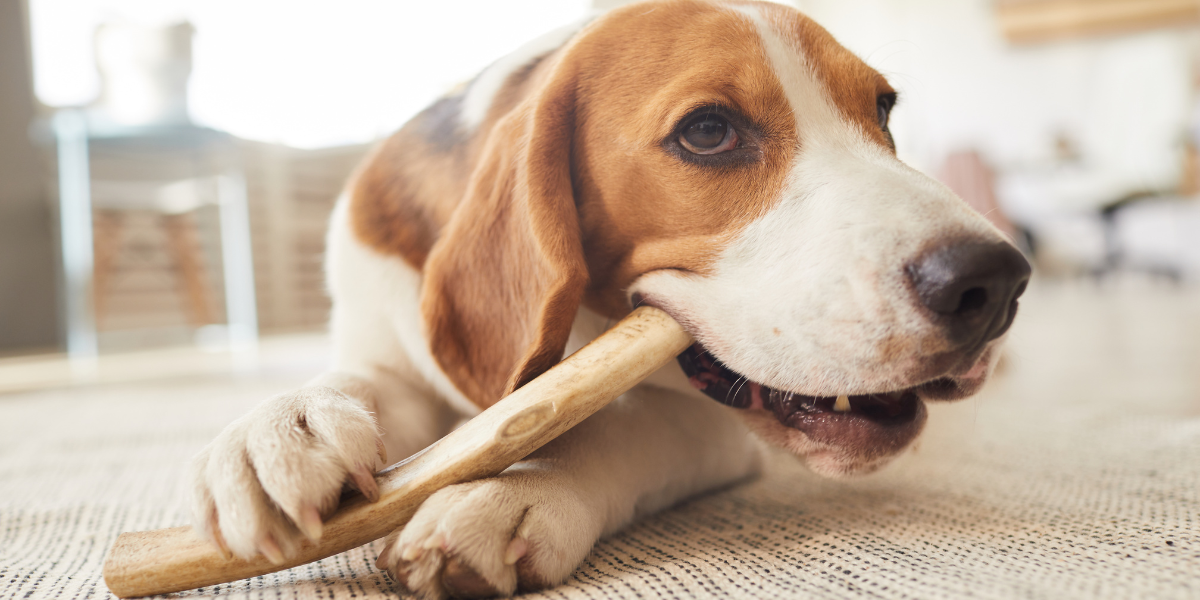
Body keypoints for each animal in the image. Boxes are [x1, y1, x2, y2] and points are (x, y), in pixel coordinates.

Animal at [189, 2, 1032, 597]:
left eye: (883, 110)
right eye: (708, 132)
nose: (995, 282)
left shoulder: (703, 420)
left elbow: (616, 424)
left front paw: (510, 491)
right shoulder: (384, 348)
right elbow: (355, 385)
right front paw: (280, 430)